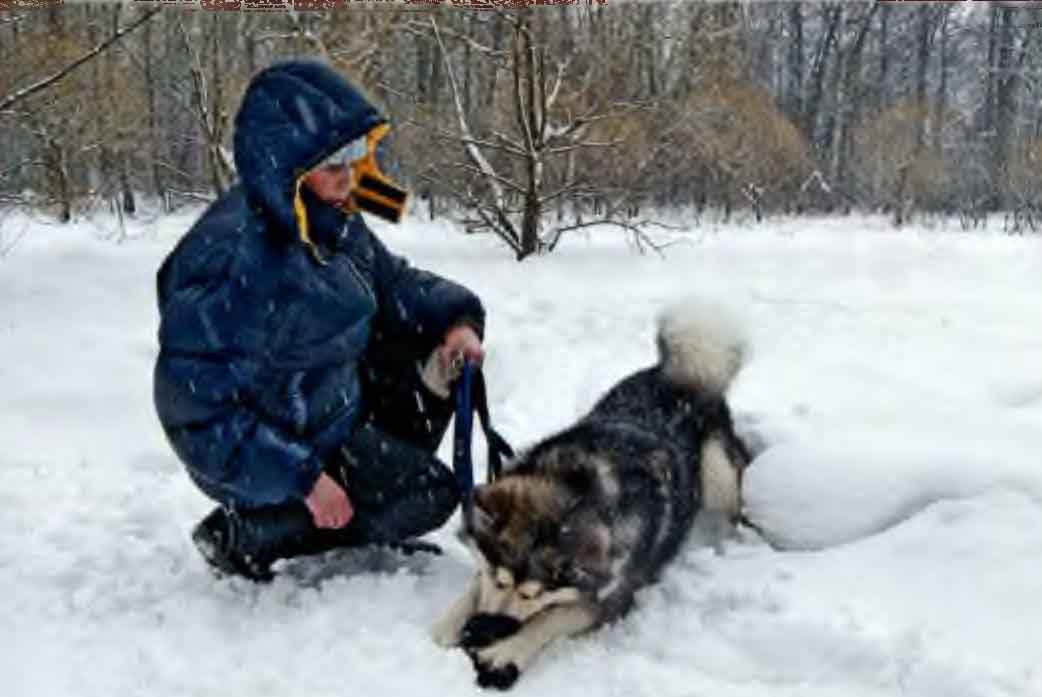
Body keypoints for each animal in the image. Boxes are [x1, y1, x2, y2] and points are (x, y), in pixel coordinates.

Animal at [429, 302, 750, 687]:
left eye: (533, 593)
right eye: (498, 579)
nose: (478, 632)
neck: (570, 485)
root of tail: (679, 376)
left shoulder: (614, 594)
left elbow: (549, 618)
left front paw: (507, 650)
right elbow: (473, 585)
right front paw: (449, 622)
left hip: (717, 476)